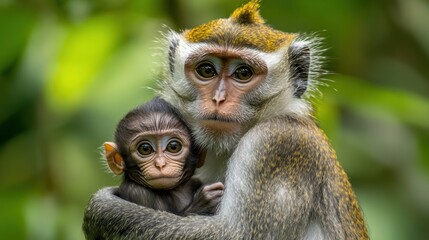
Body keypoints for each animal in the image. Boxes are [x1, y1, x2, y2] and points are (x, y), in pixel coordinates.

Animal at [83, 0, 368, 239]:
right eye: (206, 70)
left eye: (243, 73)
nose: (218, 99)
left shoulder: (278, 144)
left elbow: (233, 235)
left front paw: (103, 208)